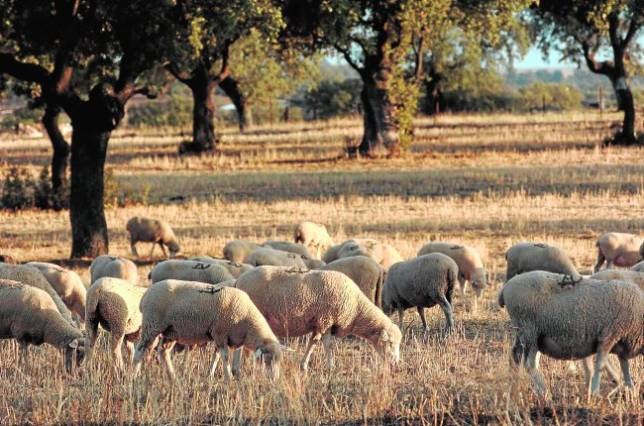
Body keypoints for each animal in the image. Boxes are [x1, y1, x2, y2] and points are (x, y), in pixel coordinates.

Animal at [132, 280, 280, 380]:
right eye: (268, 360)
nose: (274, 380)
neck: (247, 321)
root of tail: (145, 295)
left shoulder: (225, 337)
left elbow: (217, 357)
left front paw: (211, 375)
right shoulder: (220, 333)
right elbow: (225, 357)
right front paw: (228, 379)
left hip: (171, 331)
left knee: (163, 351)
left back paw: (173, 378)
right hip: (152, 325)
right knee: (140, 350)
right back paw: (134, 376)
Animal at [234, 268, 400, 372]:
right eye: (390, 343)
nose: (396, 365)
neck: (357, 308)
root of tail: (239, 280)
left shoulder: (325, 323)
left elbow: (319, 344)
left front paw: (314, 365)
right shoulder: (325, 320)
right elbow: (322, 344)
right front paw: (324, 367)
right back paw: (241, 367)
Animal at [500, 272, 640, 398]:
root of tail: (505, 288)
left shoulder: (618, 343)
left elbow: (622, 367)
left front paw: (628, 389)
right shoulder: (610, 335)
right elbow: (601, 365)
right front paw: (596, 392)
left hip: (526, 334)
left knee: (515, 357)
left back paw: (513, 389)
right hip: (529, 330)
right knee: (530, 364)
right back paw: (544, 392)